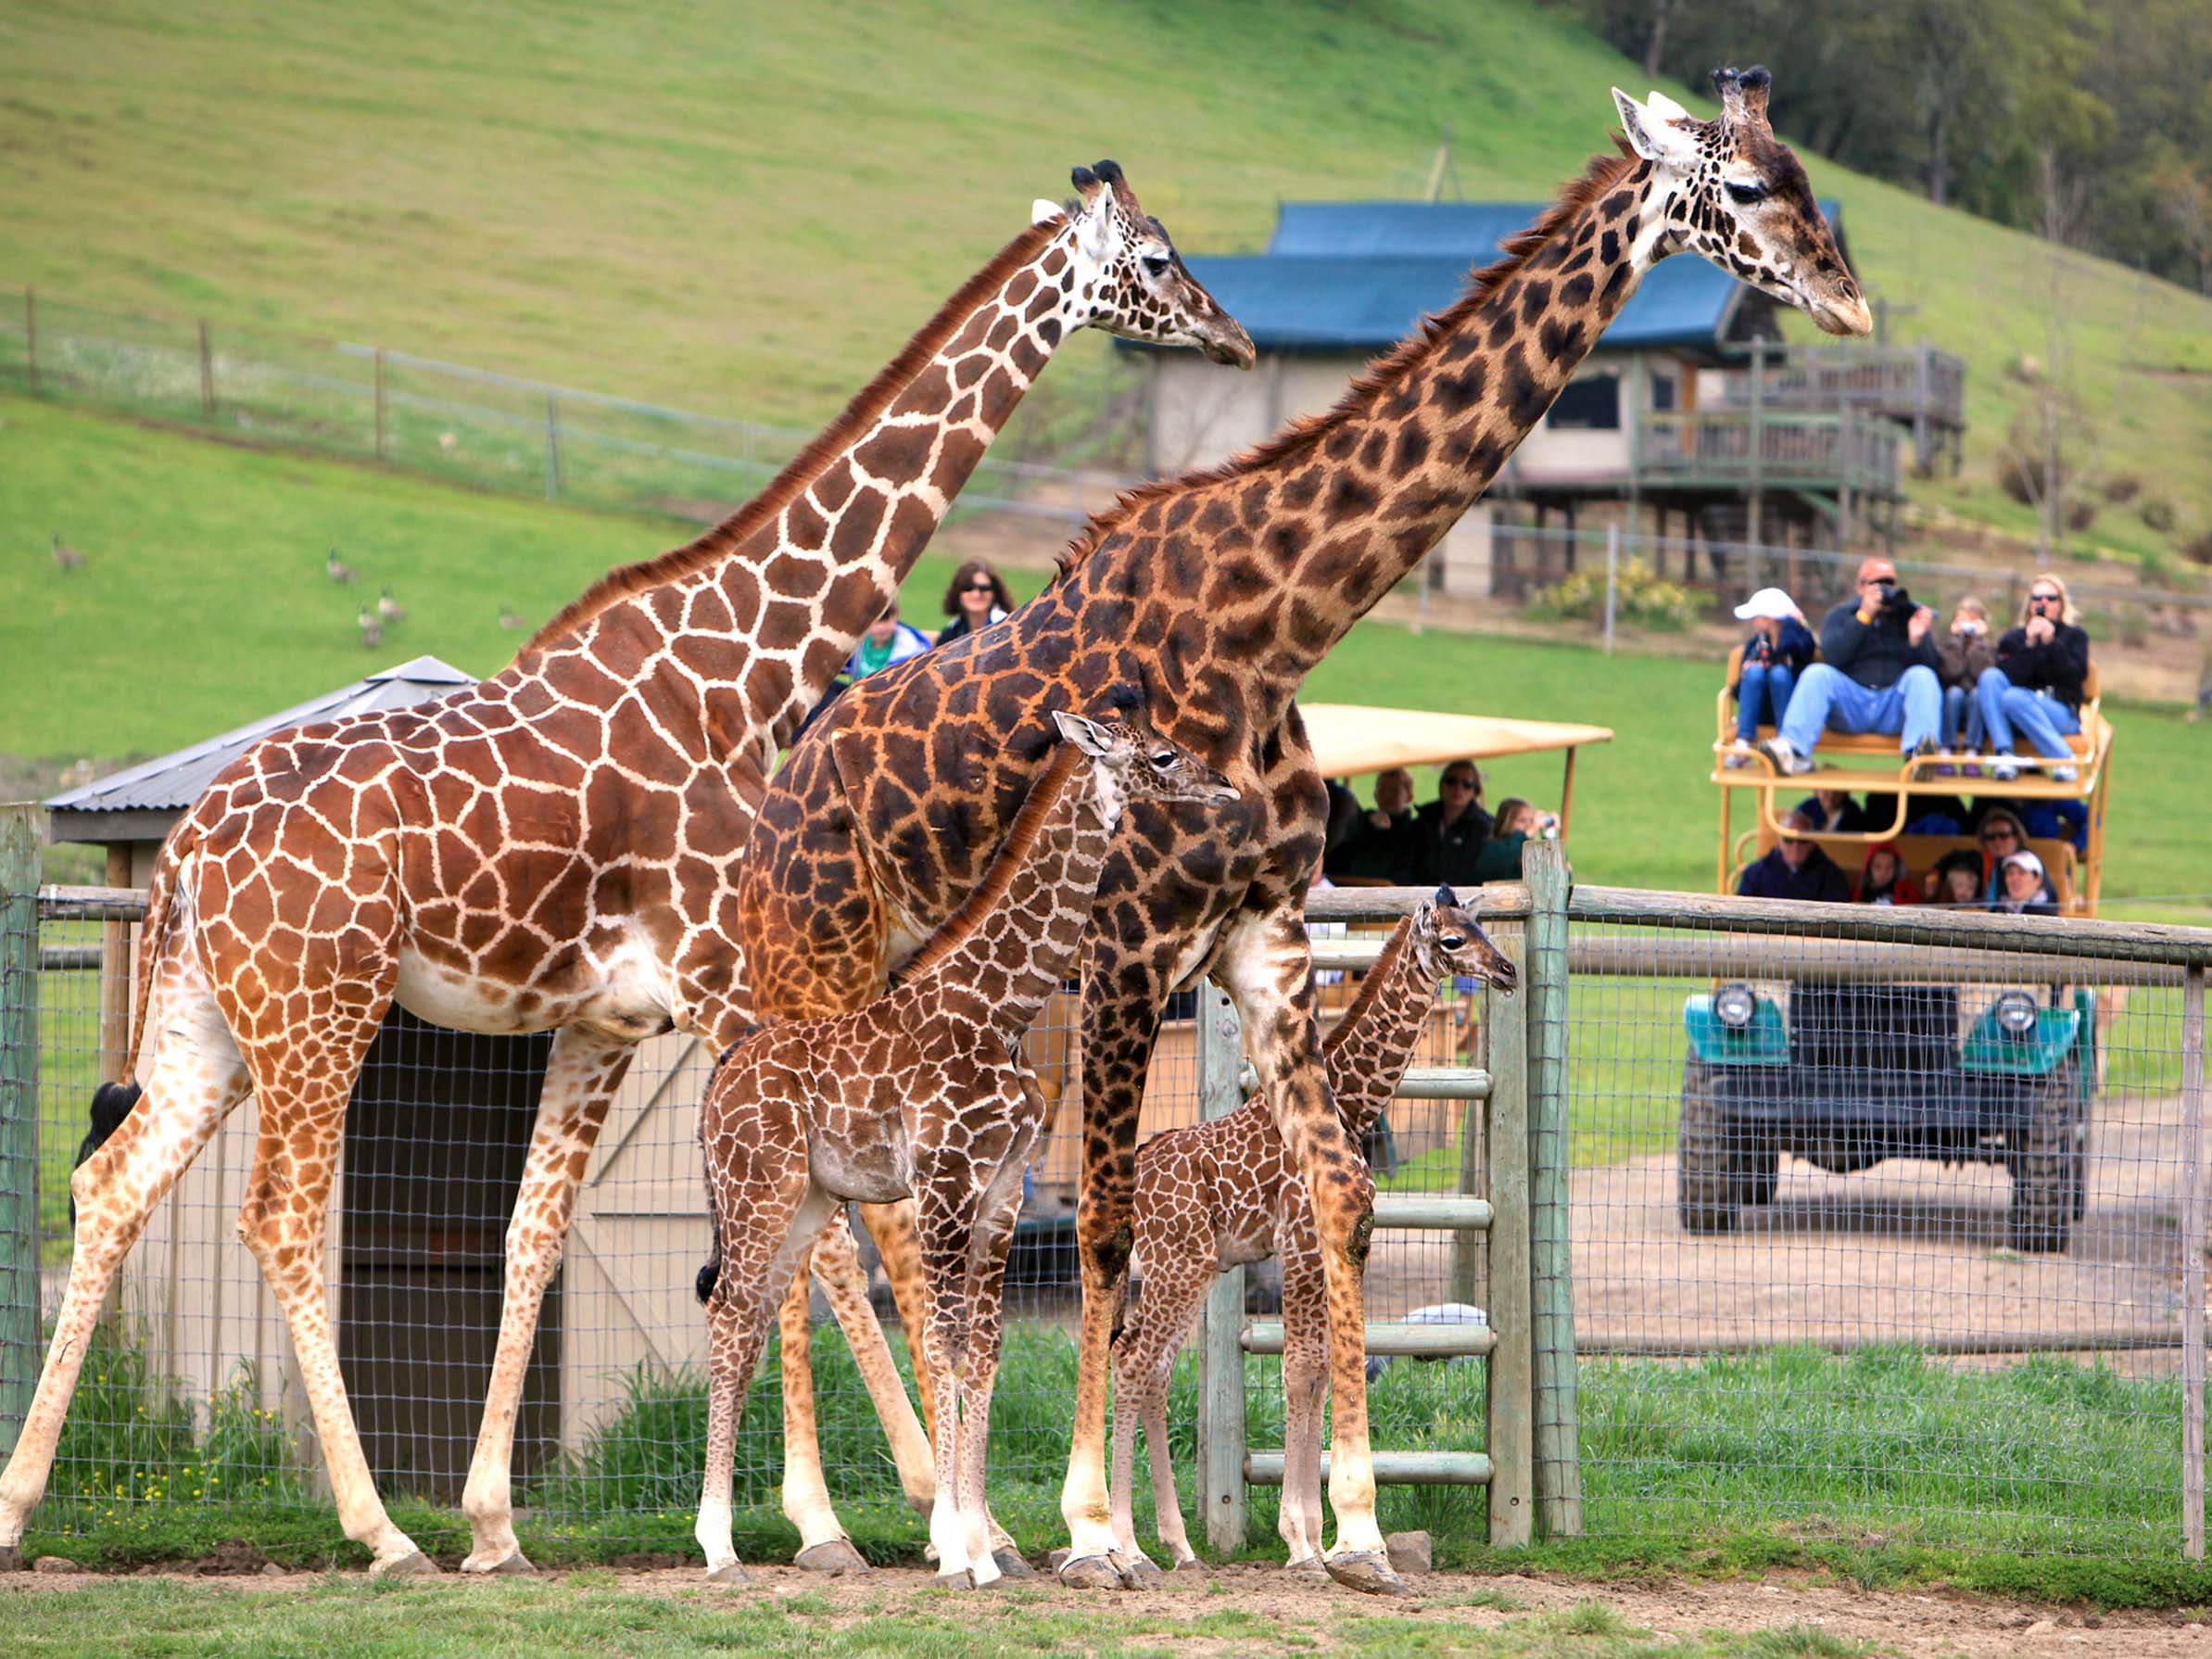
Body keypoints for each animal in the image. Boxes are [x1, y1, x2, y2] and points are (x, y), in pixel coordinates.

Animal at [694, 707, 1247, 1592]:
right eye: (1163, 755)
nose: (1225, 786)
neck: (1001, 1010)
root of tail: (720, 1074)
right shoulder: (943, 1180)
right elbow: (943, 1343)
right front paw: (956, 1548)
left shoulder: (999, 1192)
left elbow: (982, 1350)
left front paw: (986, 1549)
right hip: (758, 1189)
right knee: (728, 1312)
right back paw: (718, 1547)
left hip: (805, 1200)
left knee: (743, 1322)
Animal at [1115, 884, 1512, 1575]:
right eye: (1453, 939)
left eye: (1481, 927)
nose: (1509, 971)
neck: (1351, 1105)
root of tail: (1136, 1180)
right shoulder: (1301, 1243)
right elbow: (1300, 1368)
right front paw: (1302, 1543)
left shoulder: (1335, 1246)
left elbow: (1323, 1368)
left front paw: (1323, 1538)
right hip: (1178, 1264)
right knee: (1136, 1359)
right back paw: (1126, 1545)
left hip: (1189, 1268)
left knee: (1150, 1366)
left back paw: (1175, 1545)